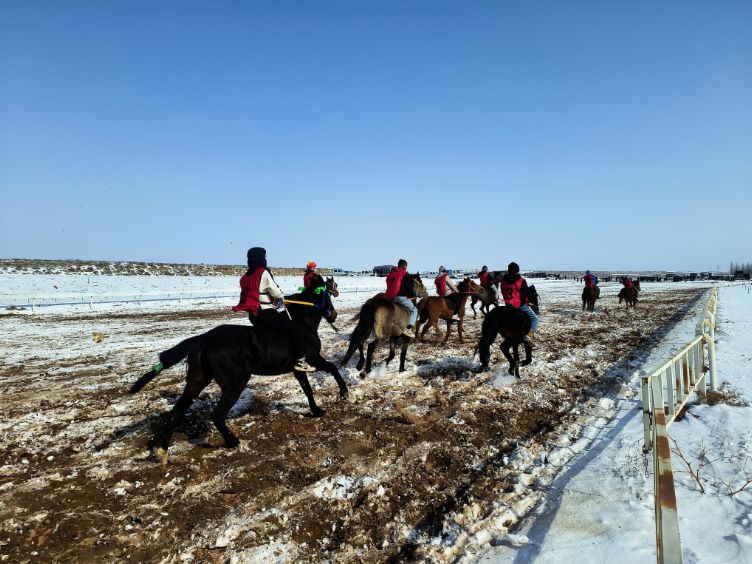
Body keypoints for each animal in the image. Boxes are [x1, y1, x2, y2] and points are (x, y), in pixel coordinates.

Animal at [129, 278, 346, 462]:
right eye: (329, 293)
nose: (334, 314)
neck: (302, 324)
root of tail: (204, 338)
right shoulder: (314, 359)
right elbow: (333, 368)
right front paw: (344, 392)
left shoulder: (298, 369)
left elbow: (307, 389)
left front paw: (316, 411)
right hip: (235, 383)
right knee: (216, 414)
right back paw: (232, 441)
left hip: (197, 381)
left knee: (177, 411)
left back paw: (161, 451)